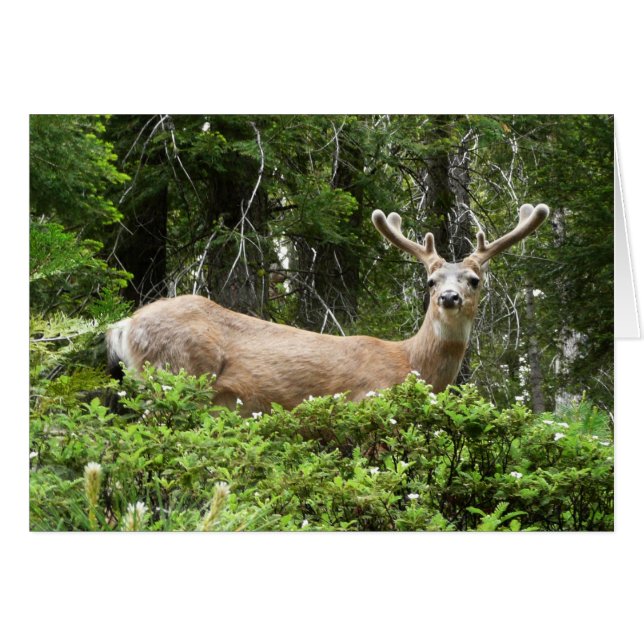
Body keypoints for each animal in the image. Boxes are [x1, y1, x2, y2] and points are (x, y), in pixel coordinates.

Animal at [107, 203, 548, 414]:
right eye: (430, 281)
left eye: (474, 280)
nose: (449, 297)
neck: (410, 364)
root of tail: (124, 325)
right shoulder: (368, 401)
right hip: (174, 372)